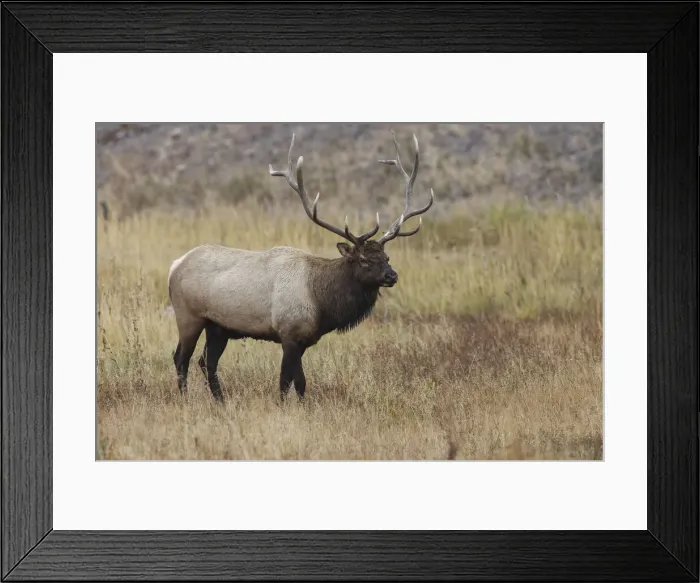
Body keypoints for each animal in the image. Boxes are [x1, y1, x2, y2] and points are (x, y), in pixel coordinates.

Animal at [168, 131, 435, 402]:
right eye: (363, 260)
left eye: (386, 257)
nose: (392, 276)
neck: (322, 303)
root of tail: (175, 265)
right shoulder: (288, 333)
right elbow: (288, 381)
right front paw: (285, 407)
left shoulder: (304, 339)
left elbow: (298, 383)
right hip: (188, 315)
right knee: (181, 357)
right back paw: (185, 398)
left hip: (219, 326)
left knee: (206, 362)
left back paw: (221, 401)